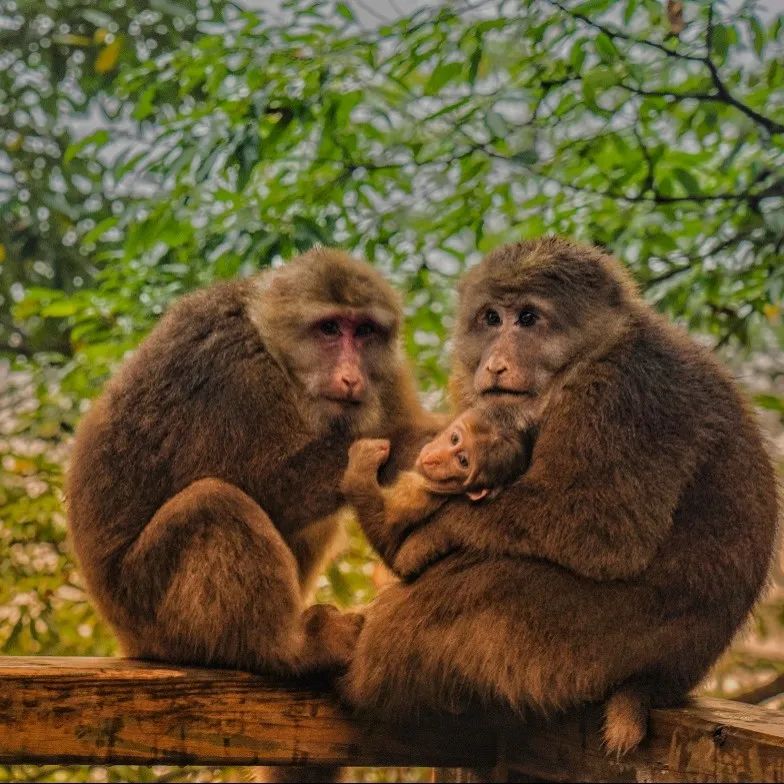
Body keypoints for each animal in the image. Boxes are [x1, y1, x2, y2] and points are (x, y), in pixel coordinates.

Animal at [66, 248, 434, 676]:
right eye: (328, 328)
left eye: (364, 332)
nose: (350, 377)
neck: (269, 342)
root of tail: (126, 638)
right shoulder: (233, 372)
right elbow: (268, 487)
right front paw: (419, 439)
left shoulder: (388, 379)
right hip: (143, 605)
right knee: (213, 503)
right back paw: (287, 647)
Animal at [340, 408, 528, 572]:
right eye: (454, 439)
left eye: (462, 461)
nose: (437, 457)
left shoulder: (416, 494)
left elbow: (394, 551)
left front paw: (361, 464)